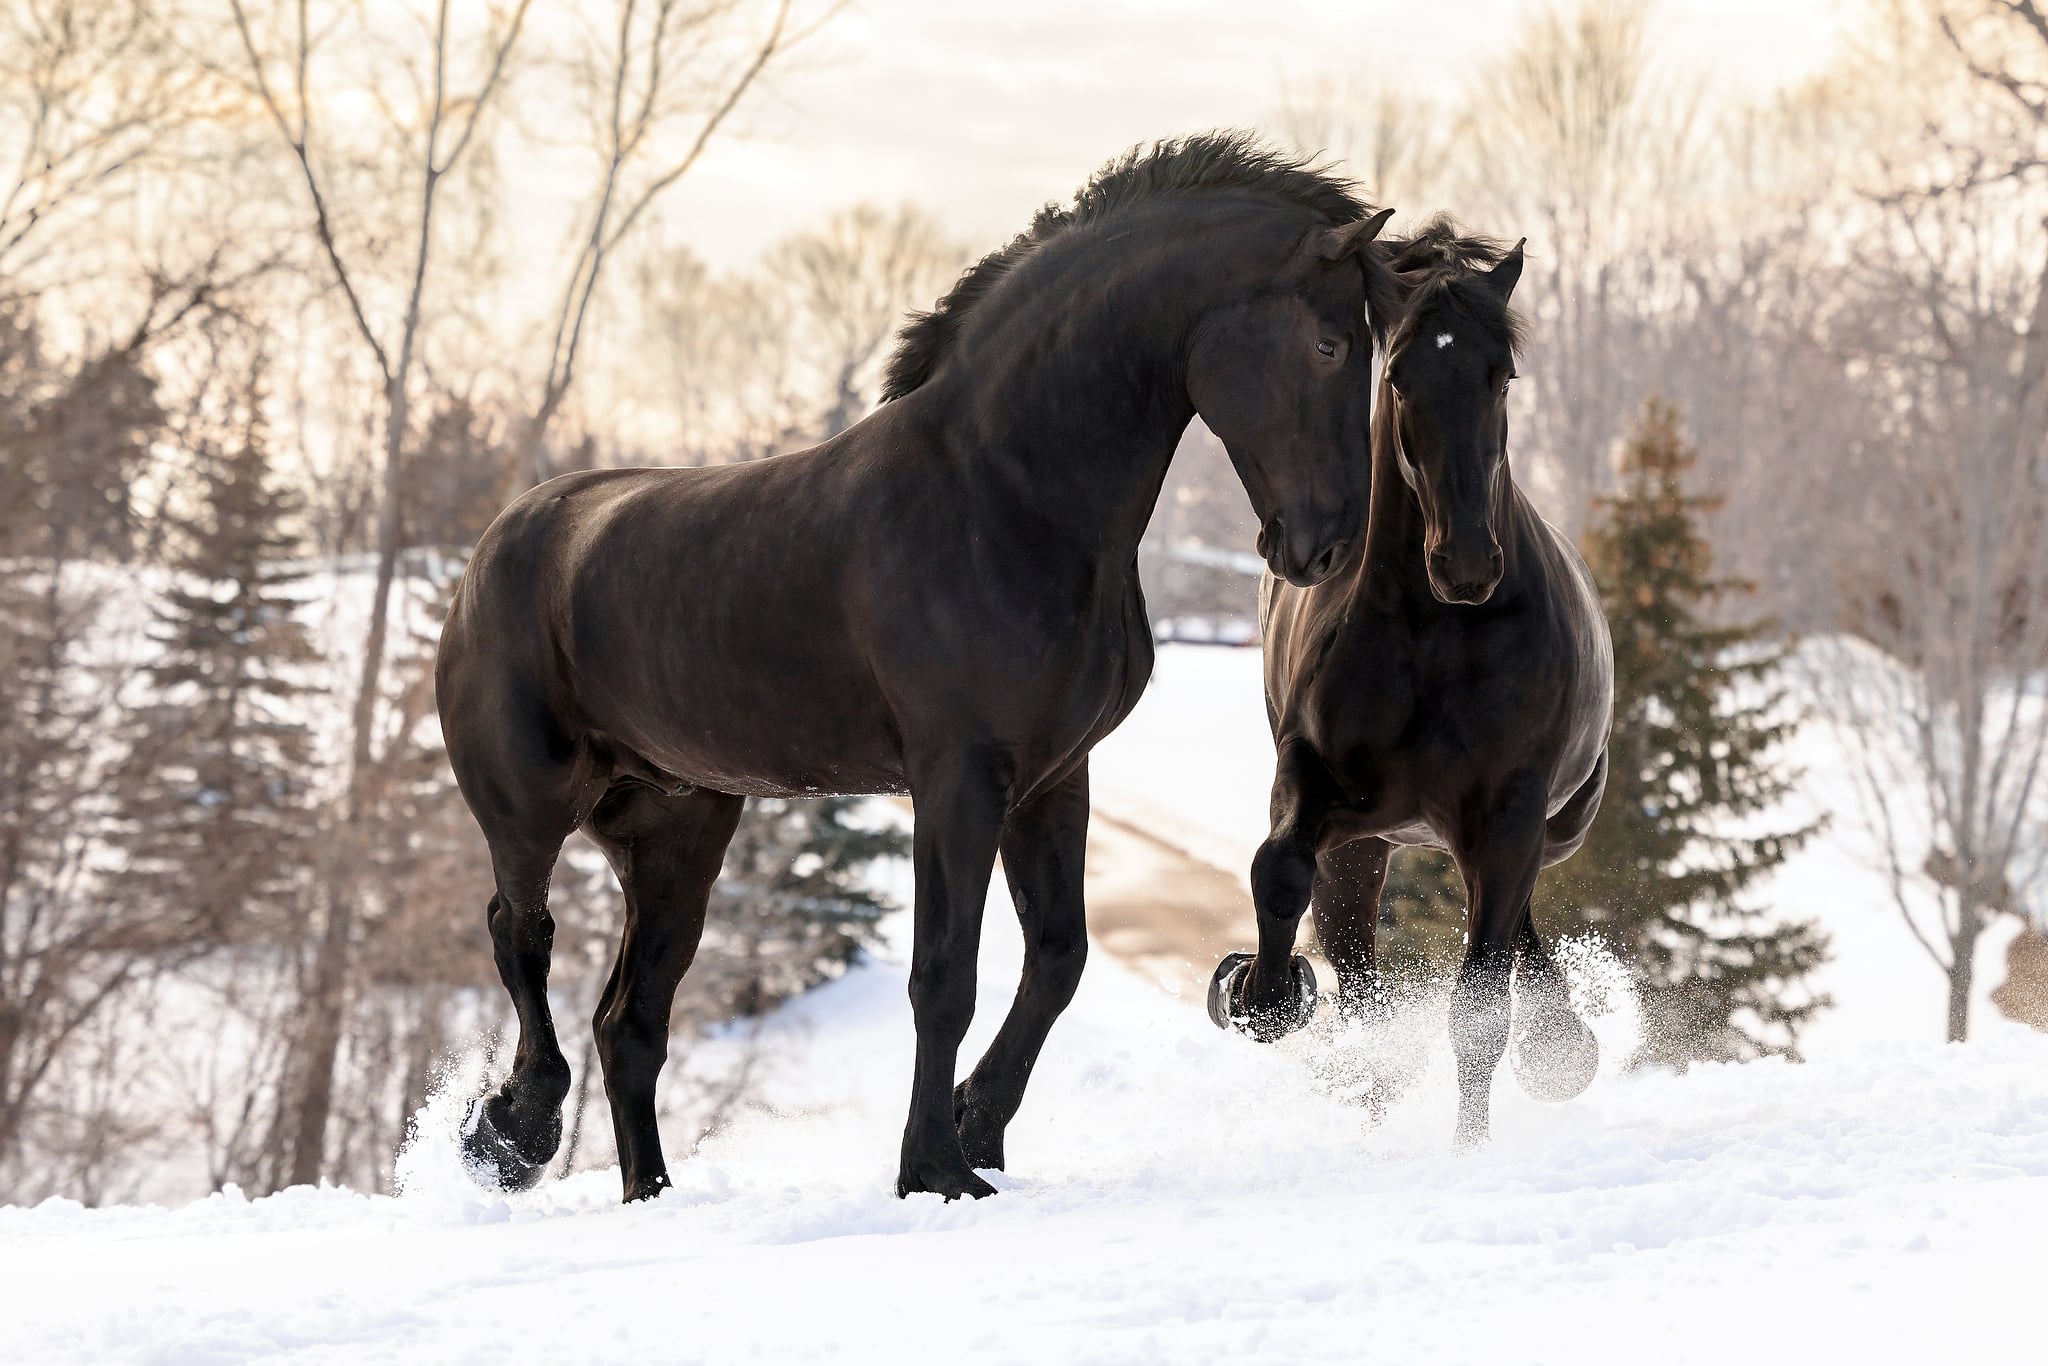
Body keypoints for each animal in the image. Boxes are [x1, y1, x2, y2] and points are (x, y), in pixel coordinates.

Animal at [1196, 219, 1613, 1146]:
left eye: (1503, 374)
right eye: (1398, 376)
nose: (1465, 563)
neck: (1438, 636)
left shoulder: (1508, 817)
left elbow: (1481, 1005)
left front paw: (1470, 1151)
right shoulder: (1319, 788)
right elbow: (1279, 875)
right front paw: (1256, 992)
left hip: (1547, 829)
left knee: (1513, 933)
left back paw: (1559, 1046)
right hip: (1367, 848)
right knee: (1361, 983)